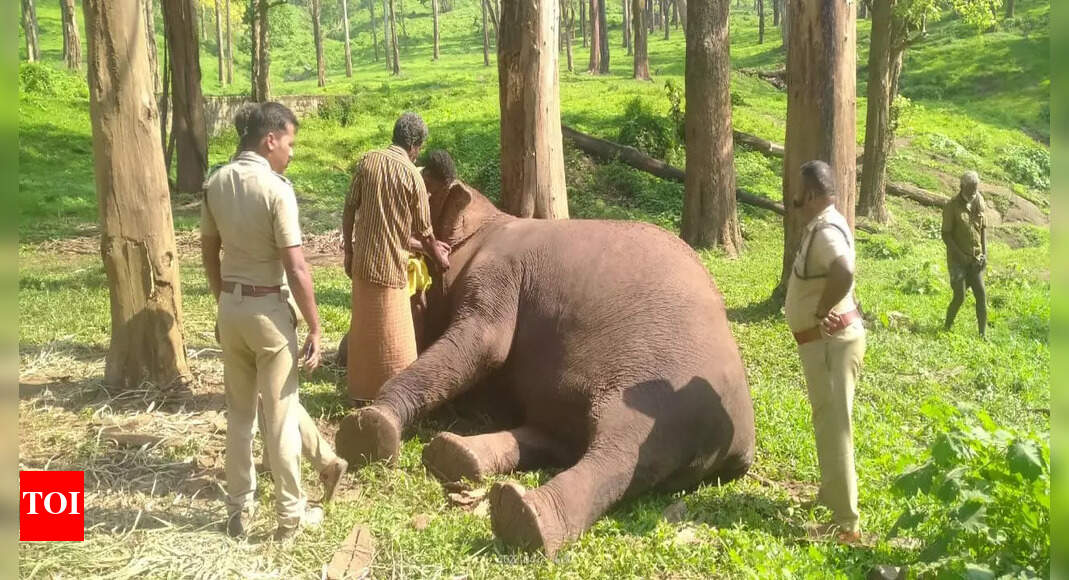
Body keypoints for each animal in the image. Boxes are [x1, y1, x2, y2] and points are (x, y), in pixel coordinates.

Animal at [335, 180, 755, 557]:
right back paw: (457, 456)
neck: (492, 223)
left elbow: (486, 345)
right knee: (558, 436)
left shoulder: (499, 275)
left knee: (621, 452)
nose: (339, 353)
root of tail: (741, 447)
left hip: (658, 397)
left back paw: (523, 518)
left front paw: (368, 423)